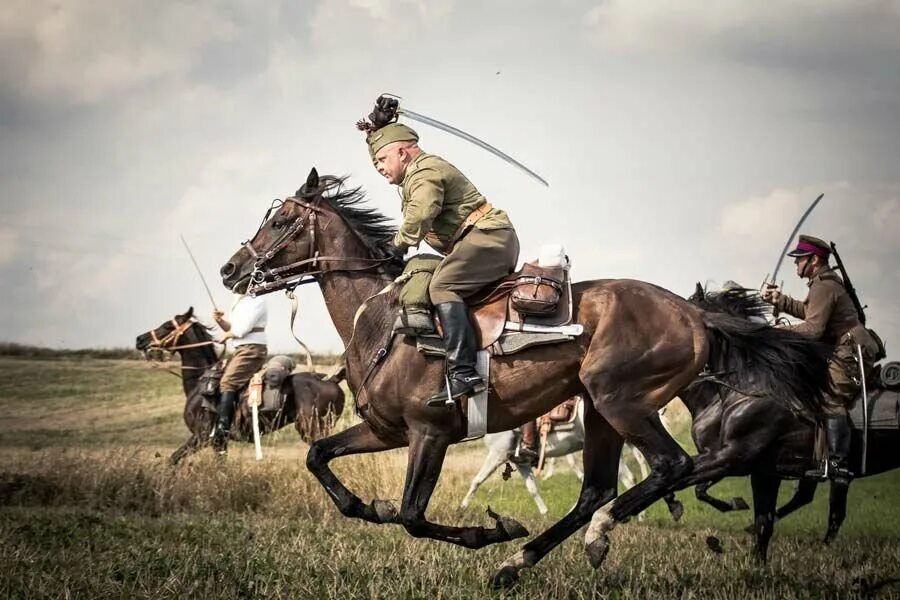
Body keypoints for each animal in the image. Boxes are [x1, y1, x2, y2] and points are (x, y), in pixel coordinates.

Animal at [135, 308, 346, 466]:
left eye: (167, 326)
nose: (140, 339)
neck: (201, 380)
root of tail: (331, 379)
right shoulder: (219, 443)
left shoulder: (201, 437)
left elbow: (173, 459)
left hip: (312, 430)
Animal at [220, 171, 828, 588]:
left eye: (281, 221)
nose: (230, 269)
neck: (382, 321)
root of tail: (692, 312)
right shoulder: (386, 430)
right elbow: (320, 459)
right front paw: (373, 507)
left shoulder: (428, 433)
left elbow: (415, 516)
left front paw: (488, 532)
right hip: (601, 411)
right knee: (597, 489)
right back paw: (519, 563)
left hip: (622, 400)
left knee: (669, 467)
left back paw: (593, 535)